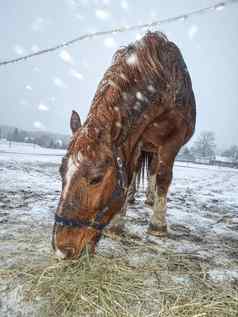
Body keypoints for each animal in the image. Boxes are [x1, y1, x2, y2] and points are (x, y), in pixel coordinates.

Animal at [52, 30, 195, 258]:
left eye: (96, 179)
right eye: (61, 171)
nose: (61, 248)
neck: (164, 86)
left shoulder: (172, 141)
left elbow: (163, 177)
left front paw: (158, 225)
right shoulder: (133, 140)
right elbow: (127, 177)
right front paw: (118, 224)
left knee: (154, 171)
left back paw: (151, 199)